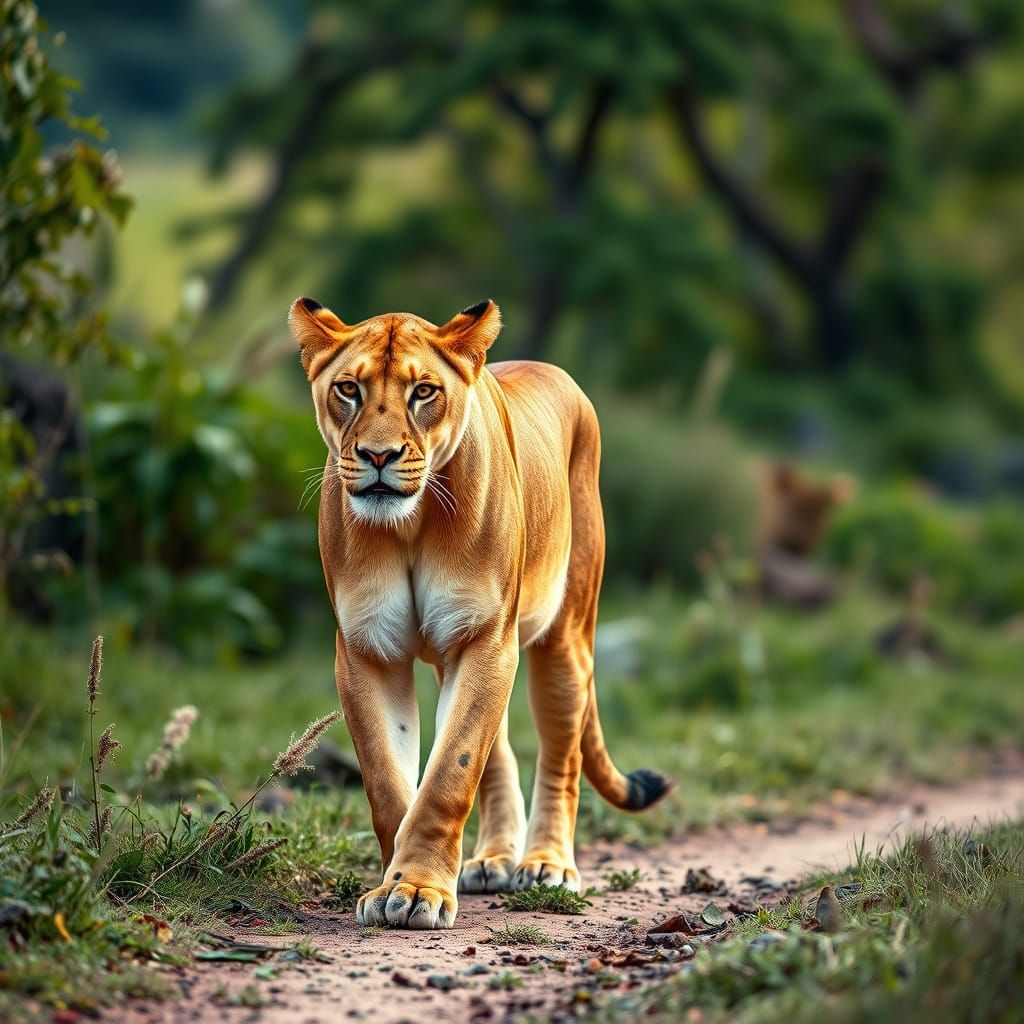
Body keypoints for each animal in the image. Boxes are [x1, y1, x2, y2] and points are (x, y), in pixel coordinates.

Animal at [289, 296, 671, 930]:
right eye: (348, 389)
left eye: (423, 392)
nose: (377, 456)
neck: (411, 523)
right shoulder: (369, 649)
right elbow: (391, 784)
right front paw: (396, 884)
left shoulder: (486, 638)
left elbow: (451, 770)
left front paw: (419, 888)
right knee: (502, 756)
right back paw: (492, 860)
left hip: (563, 639)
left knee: (561, 756)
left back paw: (547, 866)